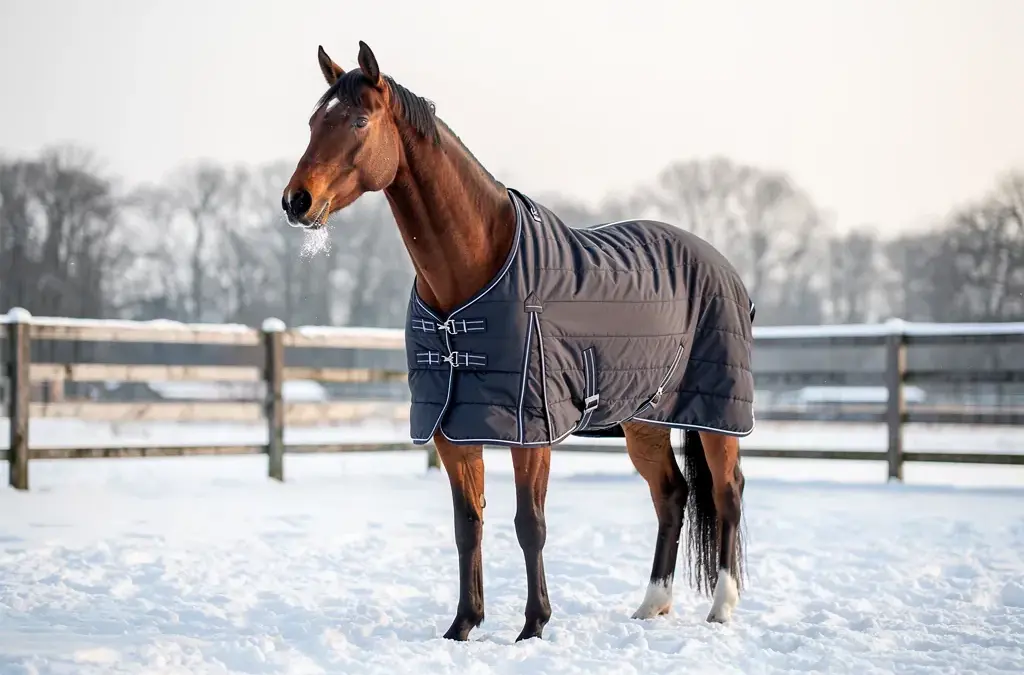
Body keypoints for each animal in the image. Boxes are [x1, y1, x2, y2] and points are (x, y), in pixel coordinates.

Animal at [282, 41, 753, 642]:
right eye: (314, 122)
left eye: (359, 121)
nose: (297, 201)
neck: (475, 271)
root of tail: (722, 266)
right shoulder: (452, 427)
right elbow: (468, 524)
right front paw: (463, 625)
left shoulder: (530, 429)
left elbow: (530, 524)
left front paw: (533, 625)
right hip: (644, 418)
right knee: (672, 493)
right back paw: (652, 604)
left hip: (718, 415)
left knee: (726, 492)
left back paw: (721, 608)